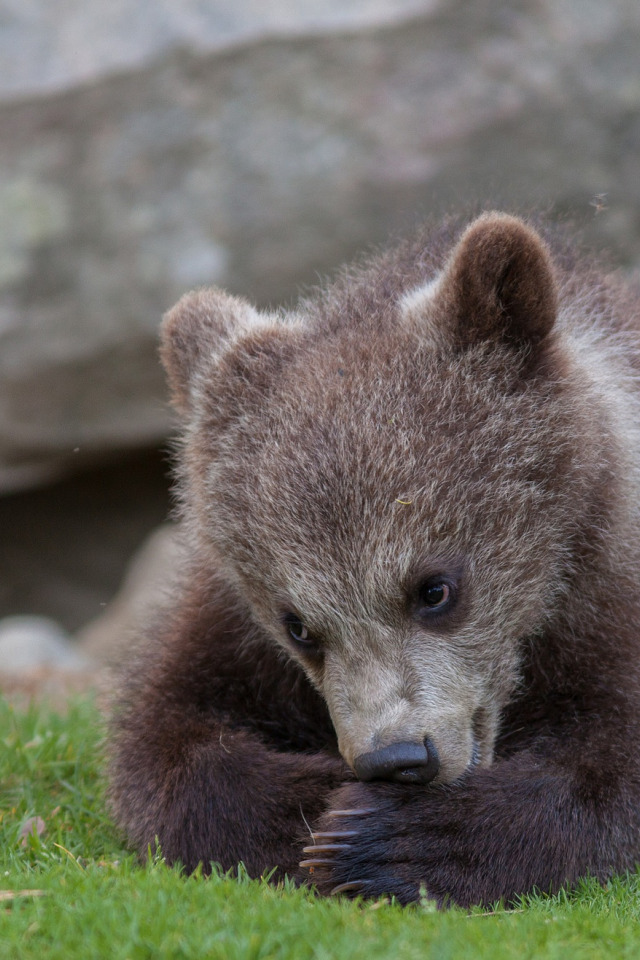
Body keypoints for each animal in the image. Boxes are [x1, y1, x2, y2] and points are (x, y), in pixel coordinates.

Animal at [107, 212, 640, 908]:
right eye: (297, 626)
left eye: (435, 588)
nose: (398, 759)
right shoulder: (228, 626)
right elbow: (169, 739)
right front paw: (312, 808)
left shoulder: (606, 595)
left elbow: (604, 768)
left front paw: (390, 840)